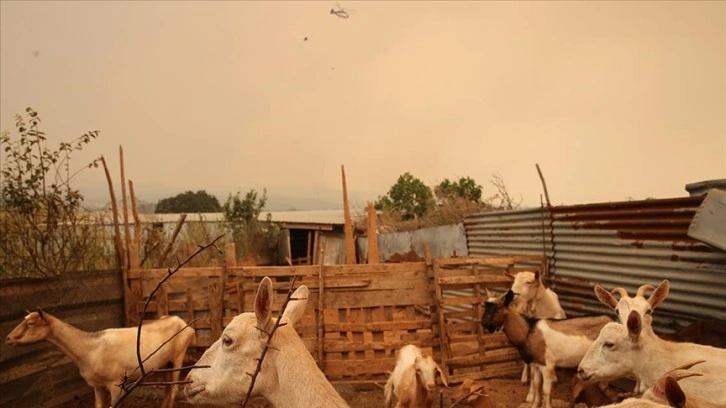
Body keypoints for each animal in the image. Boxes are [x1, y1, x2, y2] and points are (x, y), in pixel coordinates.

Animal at [4, 310, 196, 408]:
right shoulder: (96, 385)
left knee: (174, 389)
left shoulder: (115, 383)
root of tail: (183, 322)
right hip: (164, 364)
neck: (89, 350)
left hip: (178, 355)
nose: (8, 338)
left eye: (31, 324)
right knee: (167, 388)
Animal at [484, 290, 616, 408]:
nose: (485, 325)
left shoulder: (547, 366)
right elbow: (537, 385)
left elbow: (546, 390)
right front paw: (535, 405)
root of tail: (611, 321)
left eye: (498, 309)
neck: (528, 331)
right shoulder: (536, 364)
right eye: (484, 307)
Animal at [506, 270, 568, 400]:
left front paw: (553, 378)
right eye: (513, 281)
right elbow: (534, 375)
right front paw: (531, 395)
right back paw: (524, 378)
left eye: (529, 282)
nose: (511, 295)